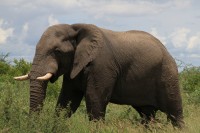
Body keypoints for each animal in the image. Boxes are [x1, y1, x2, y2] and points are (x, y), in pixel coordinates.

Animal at [14, 23, 184, 128]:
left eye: (57, 51)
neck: (74, 28)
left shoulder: (102, 66)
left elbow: (94, 100)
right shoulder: (74, 66)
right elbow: (67, 100)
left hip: (167, 74)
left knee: (174, 113)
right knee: (147, 115)